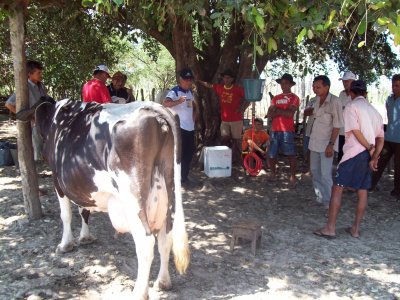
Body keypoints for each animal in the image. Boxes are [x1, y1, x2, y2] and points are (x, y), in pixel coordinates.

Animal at [19, 98, 191, 298]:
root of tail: (153, 108)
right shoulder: (82, 184)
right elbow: (84, 210)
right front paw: (85, 237)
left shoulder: (57, 179)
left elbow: (66, 215)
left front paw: (65, 244)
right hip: (167, 191)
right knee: (165, 237)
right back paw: (163, 282)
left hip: (132, 196)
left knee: (146, 242)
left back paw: (139, 292)